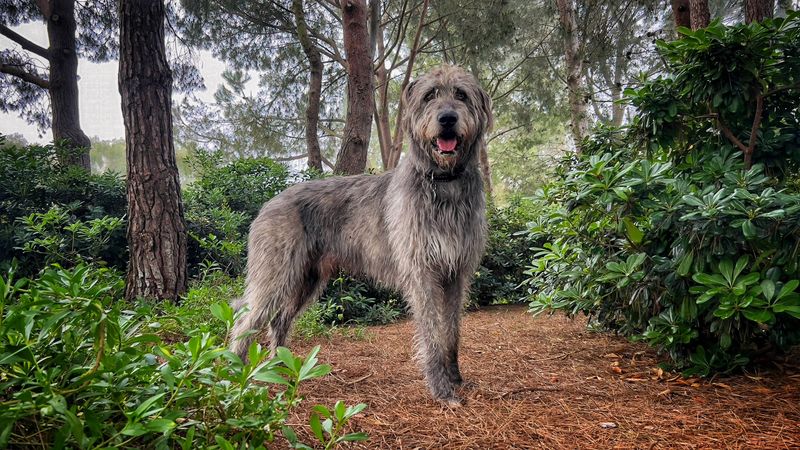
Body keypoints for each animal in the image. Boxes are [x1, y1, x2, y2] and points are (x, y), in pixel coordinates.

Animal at [230, 65, 494, 406]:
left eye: (461, 94)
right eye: (429, 95)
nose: (447, 118)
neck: (443, 181)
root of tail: (269, 203)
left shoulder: (455, 274)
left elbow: (452, 332)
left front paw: (456, 378)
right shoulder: (422, 272)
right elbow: (433, 333)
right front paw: (442, 389)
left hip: (306, 279)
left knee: (280, 319)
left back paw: (280, 367)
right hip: (275, 274)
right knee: (245, 321)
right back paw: (234, 373)